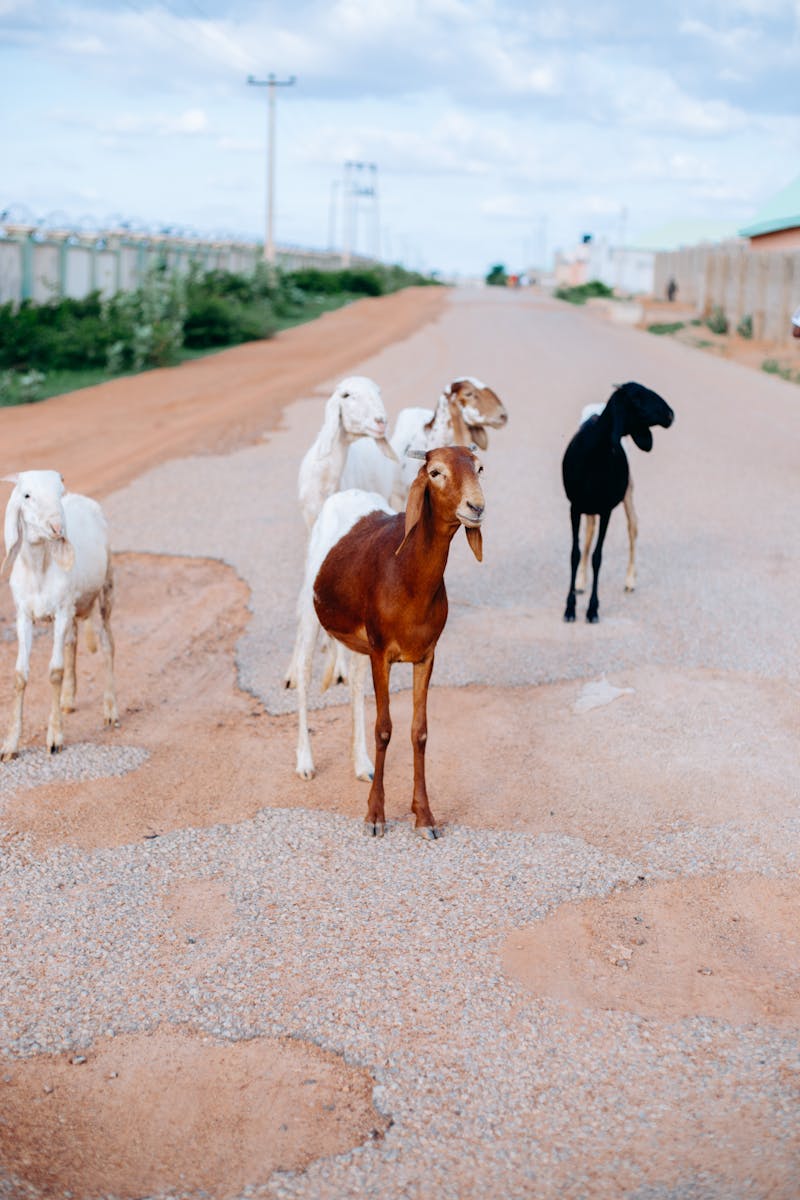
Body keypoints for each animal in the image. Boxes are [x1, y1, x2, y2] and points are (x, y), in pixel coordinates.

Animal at [1, 470, 118, 759]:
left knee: (108, 643)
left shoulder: (62, 610)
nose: (57, 528)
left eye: (58, 492)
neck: (40, 570)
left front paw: (54, 738)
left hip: (106, 589)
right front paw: (10, 745)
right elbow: (19, 674)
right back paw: (68, 699)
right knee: (72, 642)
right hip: (73, 607)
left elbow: (55, 671)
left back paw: (110, 709)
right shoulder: (24, 615)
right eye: (27, 495)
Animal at [296, 446, 485, 839]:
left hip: (359, 643)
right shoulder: (382, 653)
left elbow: (419, 731)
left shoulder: (425, 656)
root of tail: (345, 494)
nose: (476, 507)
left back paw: (361, 763)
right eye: (435, 472)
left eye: (479, 468)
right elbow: (384, 729)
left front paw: (424, 816)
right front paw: (375, 816)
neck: (405, 574)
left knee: (354, 686)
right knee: (303, 677)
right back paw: (305, 762)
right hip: (310, 609)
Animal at [562, 382, 674, 624]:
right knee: (589, 534)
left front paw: (592, 610)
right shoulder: (574, 507)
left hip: (626, 492)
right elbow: (575, 553)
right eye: (637, 399)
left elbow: (598, 557)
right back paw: (581, 583)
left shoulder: (606, 509)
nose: (671, 414)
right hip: (588, 507)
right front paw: (570, 608)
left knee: (633, 526)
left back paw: (630, 580)